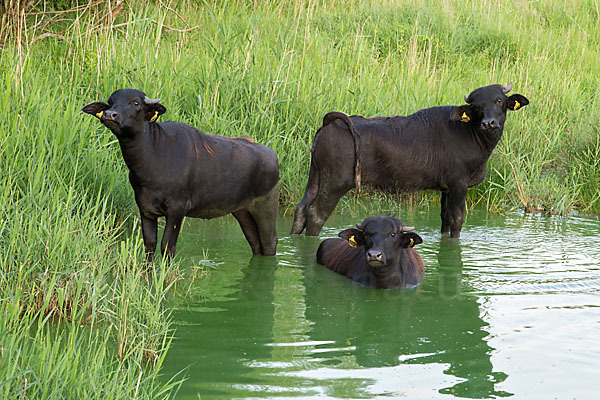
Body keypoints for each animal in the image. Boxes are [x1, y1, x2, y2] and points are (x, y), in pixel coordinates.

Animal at [83, 88, 280, 260]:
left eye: (136, 102)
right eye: (111, 102)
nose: (110, 114)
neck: (153, 157)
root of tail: (273, 156)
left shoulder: (177, 209)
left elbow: (167, 246)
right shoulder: (145, 209)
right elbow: (150, 244)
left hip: (266, 206)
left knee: (269, 241)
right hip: (242, 211)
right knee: (255, 243)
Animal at [290, 82, 528, 238]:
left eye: (499, 100)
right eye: (476, 107)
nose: (489, 123)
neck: (469, 132)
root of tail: (333, 122)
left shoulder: (446, 189)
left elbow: (445, 218)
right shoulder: (458, 185)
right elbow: (457, 220)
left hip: (316, 177)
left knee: (301, 208)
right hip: (334, 184)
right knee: (316, 214)